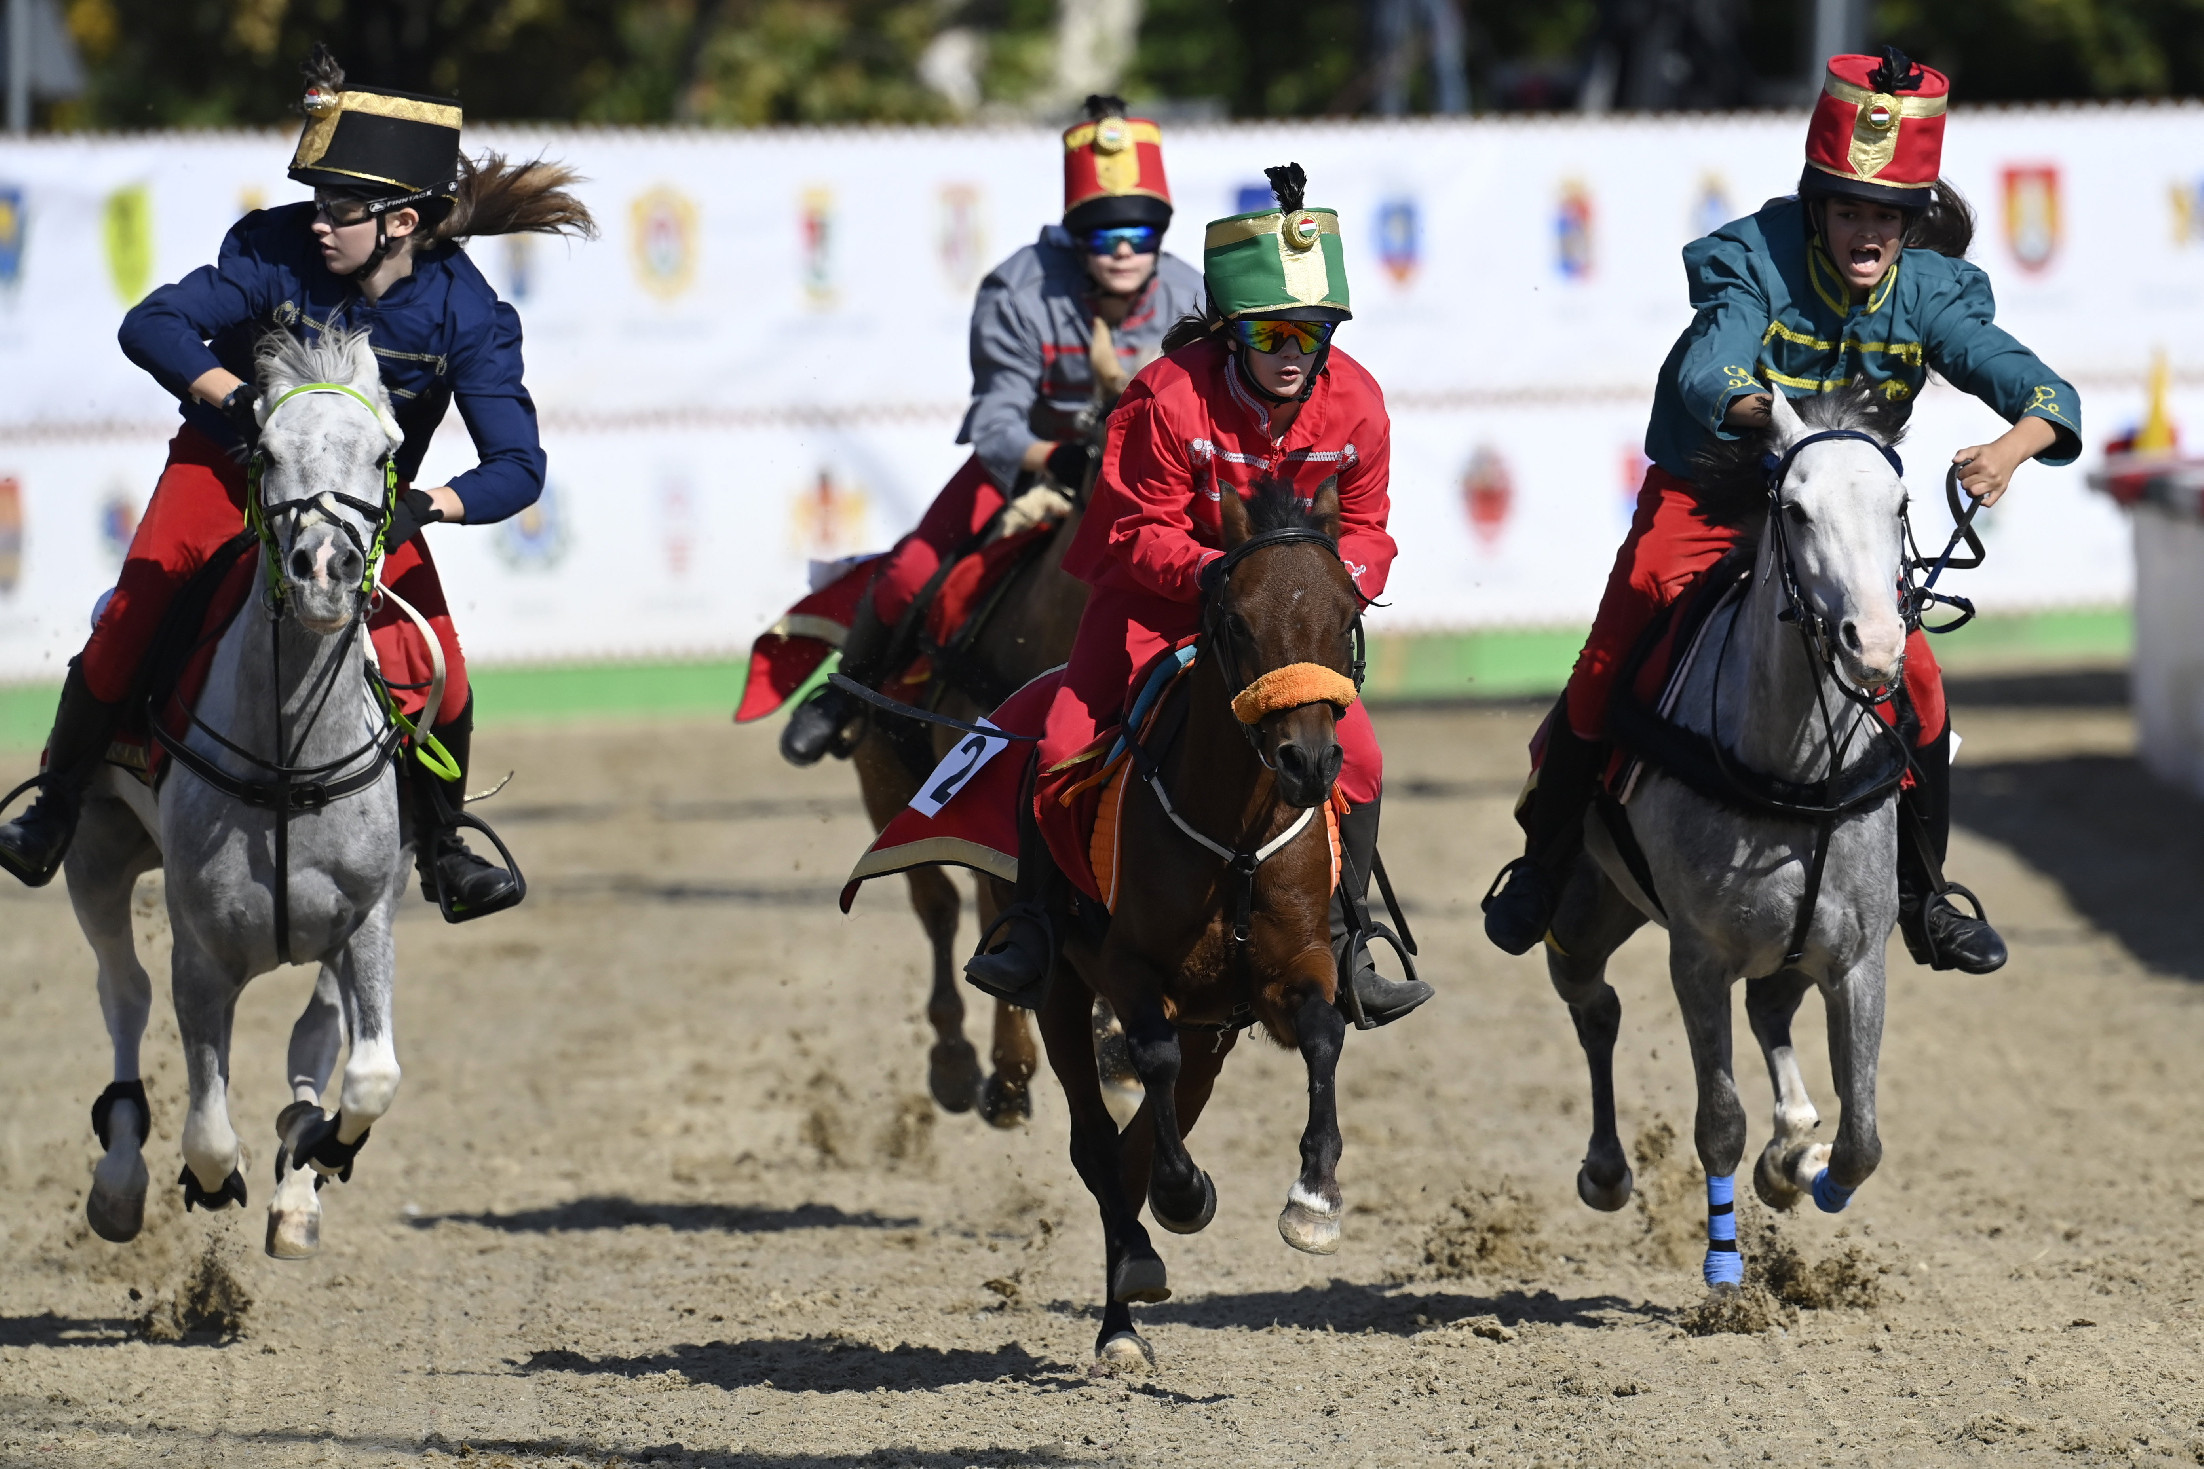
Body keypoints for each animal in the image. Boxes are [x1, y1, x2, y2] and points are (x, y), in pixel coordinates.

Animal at [71, 328, 418, 1259]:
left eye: (385, 453)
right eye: (262, 450)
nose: (326, 569)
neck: (288, 761)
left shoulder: (368, 918)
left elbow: (369, 1073)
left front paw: (318, 1148)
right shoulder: (200, 950)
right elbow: (207, 1130)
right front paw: (205, 1177)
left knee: (314, 1034)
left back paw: (300, 1177)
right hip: (96, 855)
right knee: (123, 995)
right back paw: (120, 1182)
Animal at [1551, 385, 1913, 1295]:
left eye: (1899, 506)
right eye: (1797, 508)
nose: (1876, 644)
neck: (1793, 763)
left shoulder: (1860, 956)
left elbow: (1861, 1136)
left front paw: (1806, 1172)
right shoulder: (1698, 955)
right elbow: (1718, 1118)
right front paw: (1724, 1269)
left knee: (1769, 1012)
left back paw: (1791, 1146)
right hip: (1587, 907)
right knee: (1593, 1003)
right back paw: (1606, 1169)